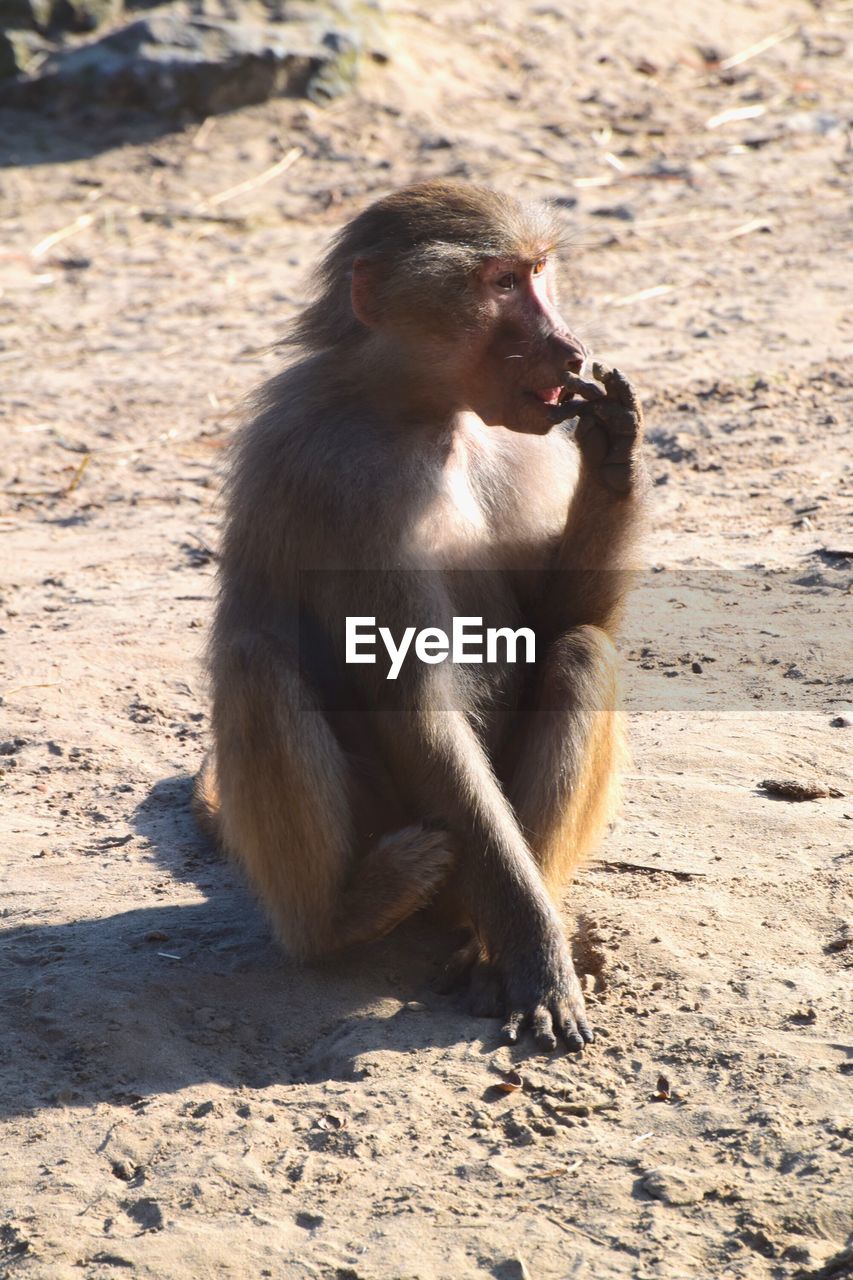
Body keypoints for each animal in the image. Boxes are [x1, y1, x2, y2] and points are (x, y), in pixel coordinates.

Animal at [194, 183, 645, 1059]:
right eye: (501, 284)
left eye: (538, 272)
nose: (569, 348)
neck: (429, 416)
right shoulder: (345, 481)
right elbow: (415, 699)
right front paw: (536, 956)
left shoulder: (527, 448)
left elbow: (557, 623)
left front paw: (614, 452)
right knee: (256, 663)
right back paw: (343, 917)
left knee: (582, 653)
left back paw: (480, 943)